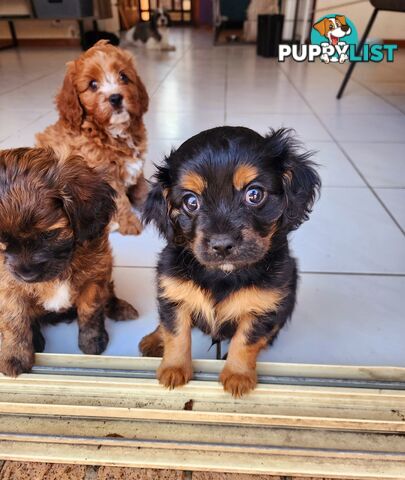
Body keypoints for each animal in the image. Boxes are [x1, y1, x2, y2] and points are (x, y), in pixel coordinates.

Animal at [0, 145, 137, 376]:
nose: (26, 274)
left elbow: (91, 311)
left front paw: (92, 341)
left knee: (109, 292)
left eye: (49, 234)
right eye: (1, 241)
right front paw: (14, 356)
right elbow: (14, 321)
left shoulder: (94, 278)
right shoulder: (8, 288)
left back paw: (120, 307)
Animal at [36, 39, 148, 236]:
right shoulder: (106, 176)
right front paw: (129, 222)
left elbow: (142, 187)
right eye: (93, 84)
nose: (115, 98)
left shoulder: (137, 164)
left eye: (124, 77)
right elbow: (121, 200)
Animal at [140, 125, 320, 396]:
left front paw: (237, 376)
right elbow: (176, 332)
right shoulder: (173, 292)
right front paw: (173, 369)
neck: (222, 274)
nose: (222, 244)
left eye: (254, 194)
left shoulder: (264, 306)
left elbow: (246, 341)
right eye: (190, 201)